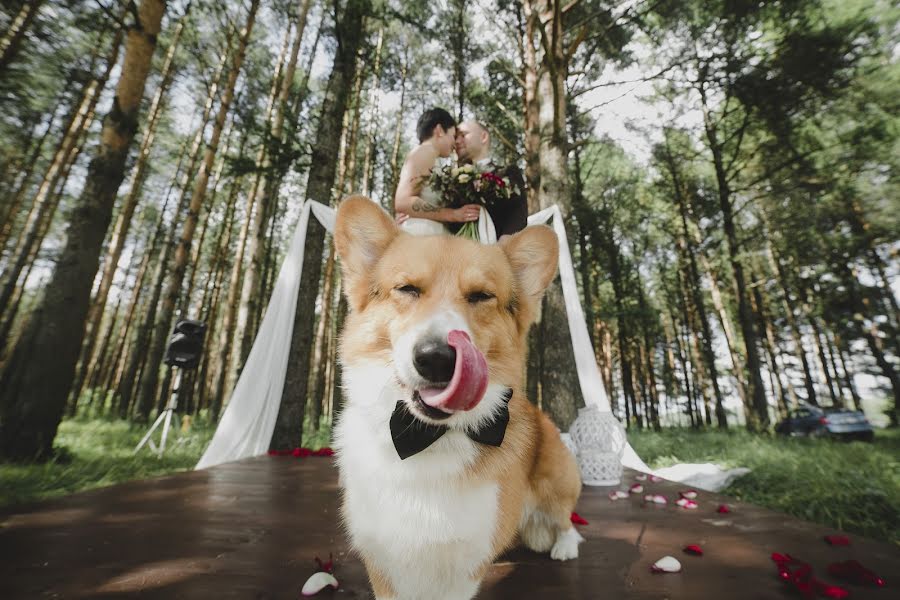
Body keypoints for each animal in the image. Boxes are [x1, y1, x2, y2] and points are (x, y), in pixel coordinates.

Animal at [332, 197, 584, 600]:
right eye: (407, 289)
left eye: (481, 296)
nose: (438, 358)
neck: (425, 438)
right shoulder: (383, 562)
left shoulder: (463, 567)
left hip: (556, 483)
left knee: (565, 519)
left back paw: (565, 546)